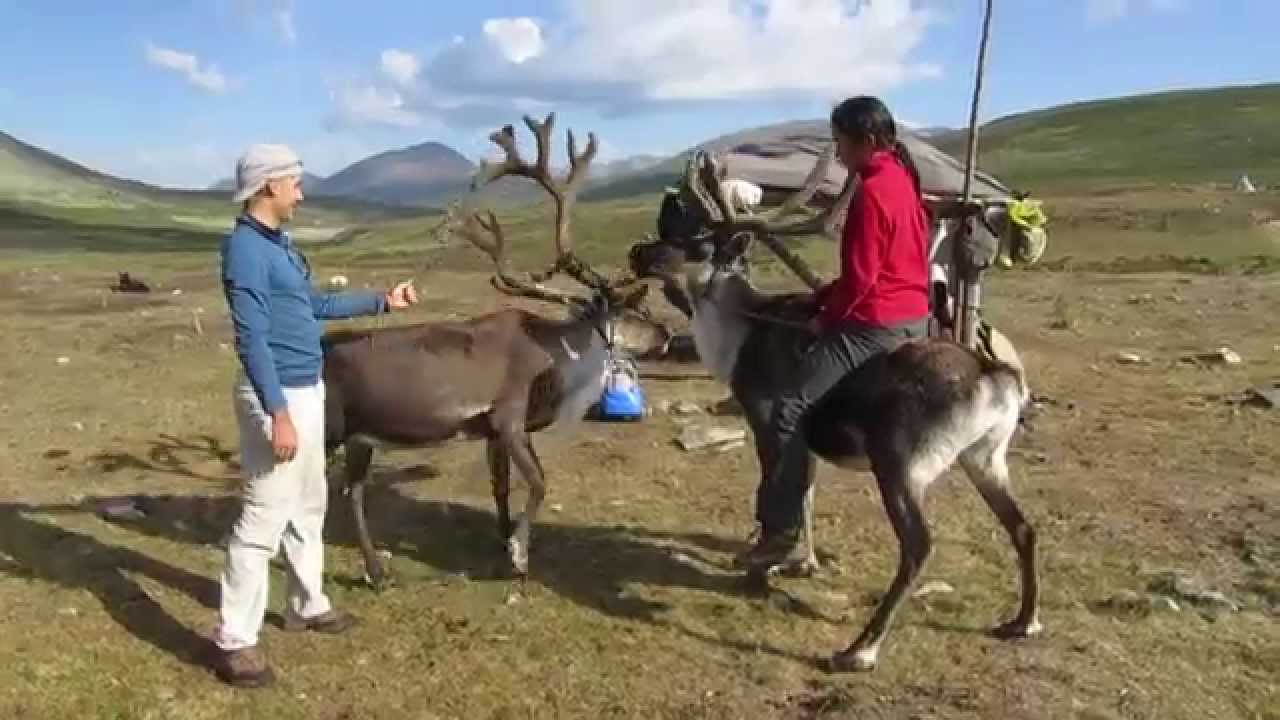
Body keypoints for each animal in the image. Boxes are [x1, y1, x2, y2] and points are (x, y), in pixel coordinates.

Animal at [321, 113, 671, 590]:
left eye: (647, 307)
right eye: (632, 309)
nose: (667, 334)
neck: (559, 357)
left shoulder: (491, 431)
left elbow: (501, 486)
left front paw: (503, 538)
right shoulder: (508, 419)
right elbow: (539, 482)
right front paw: (518, 553)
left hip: (361, 437)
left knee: (351, 491)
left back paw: (377, 573)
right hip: (325, 430)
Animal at [627, 148, 1041, 673]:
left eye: (698, 242)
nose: (637, 254)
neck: (740, 332)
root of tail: (995, 375)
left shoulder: (770, 418)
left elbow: (775, 487)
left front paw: (764, 558)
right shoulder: (805, 440)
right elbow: (805, 493)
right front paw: (802, 562)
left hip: (900, 463)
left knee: (918, 546)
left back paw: (860, 649)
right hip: (985, 457)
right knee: (1023, 527)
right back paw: (1024, 621)